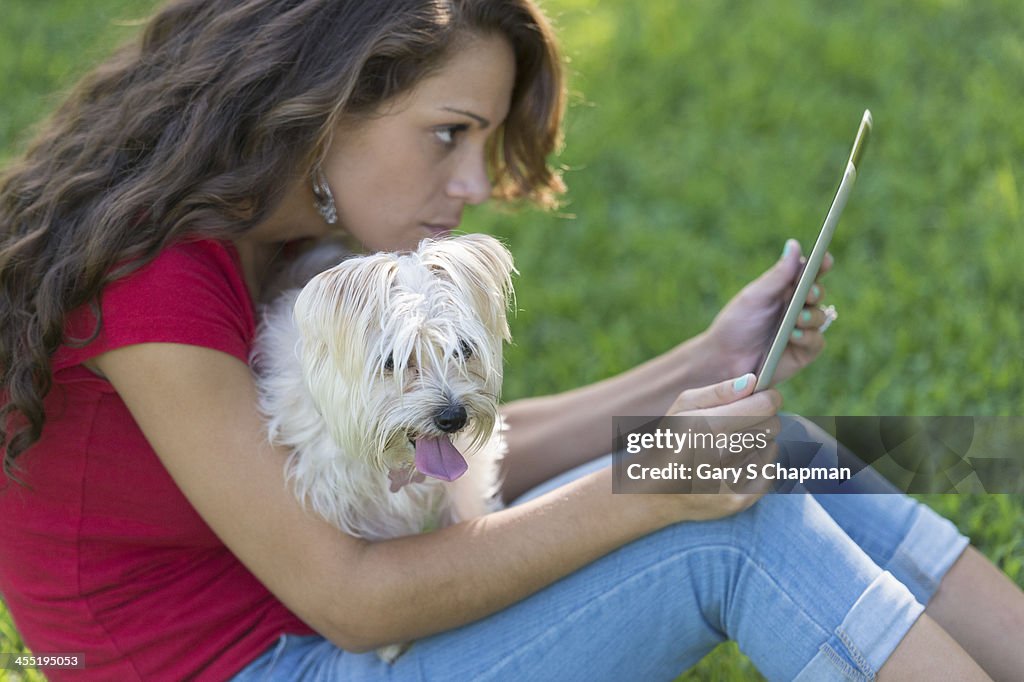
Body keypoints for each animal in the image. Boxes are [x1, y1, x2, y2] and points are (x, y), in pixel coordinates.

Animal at [252, 233, 516, 655]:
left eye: (463, 349)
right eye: (393, 360)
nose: (453, 416)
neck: (396, 461)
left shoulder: (467, 480)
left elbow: (467, 513)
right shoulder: (353, 504)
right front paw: (393, 646)